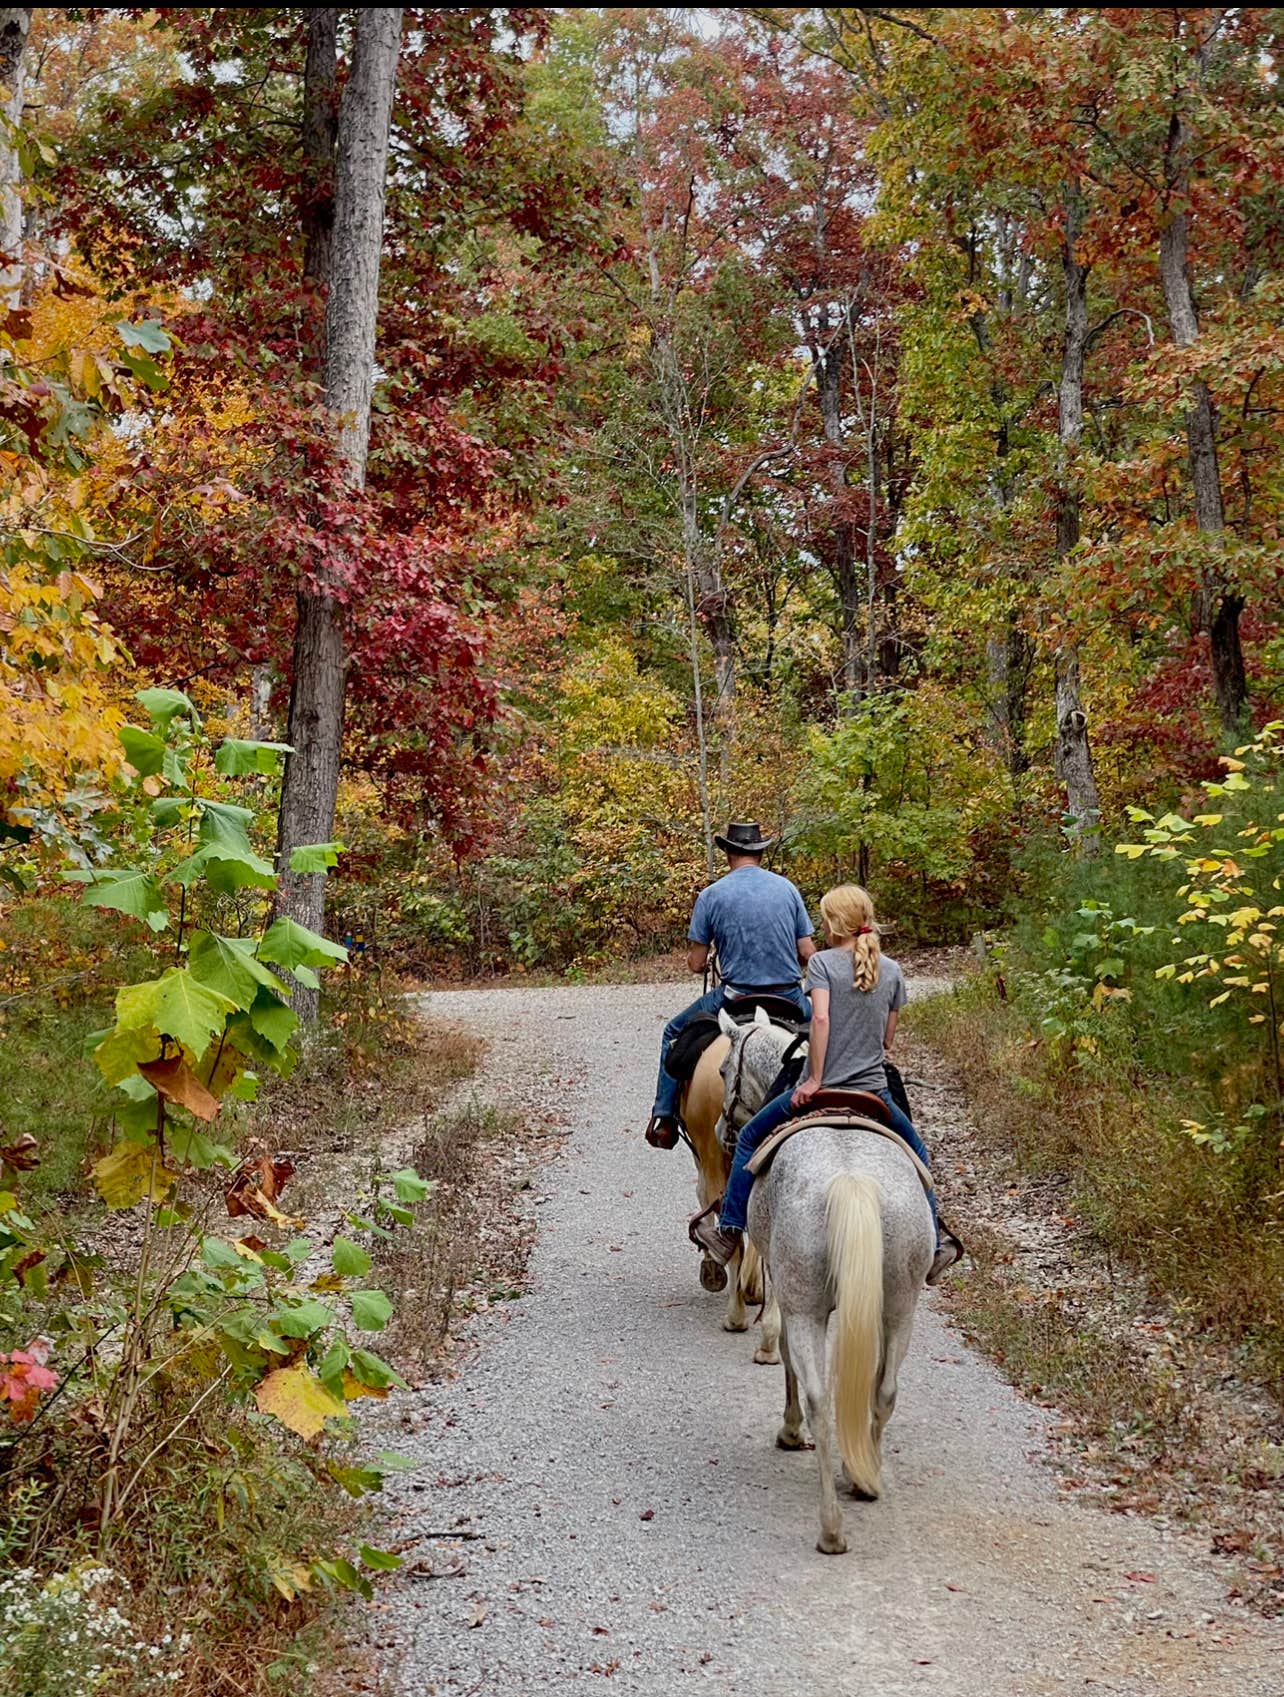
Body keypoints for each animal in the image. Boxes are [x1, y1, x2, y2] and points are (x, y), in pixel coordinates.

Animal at [715, 1009, 934, 1554]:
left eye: (725, 1069)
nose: (723, 1129)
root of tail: (850, 1180)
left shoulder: (787, 1292)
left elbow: (780, 1346)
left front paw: (788, 1429)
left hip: (808, 1309)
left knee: (818, 1395)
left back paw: (831, 1527)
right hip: (899, 1307)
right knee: (884, 1390)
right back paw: (863, 1479)